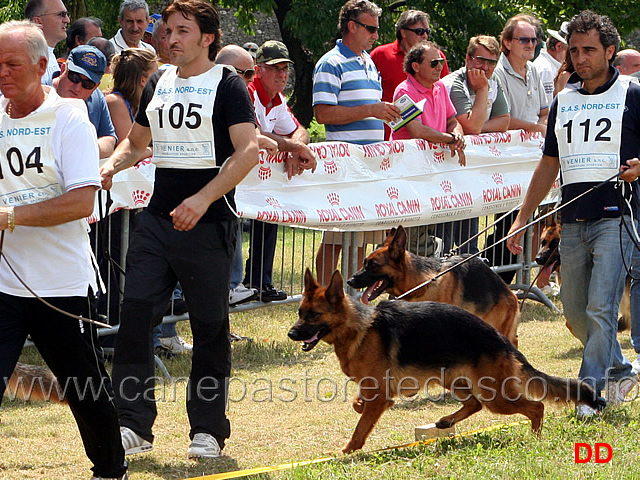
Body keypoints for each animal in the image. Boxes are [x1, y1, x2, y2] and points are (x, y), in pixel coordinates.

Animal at [290, 270, 604, 454]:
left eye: (314, 315)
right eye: (300, 312)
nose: (292, 333)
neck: (360, 327)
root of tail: (501, 340)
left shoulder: (381, 396)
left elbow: (361, 426)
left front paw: (346, 452)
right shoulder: (373, 388)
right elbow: (359, 404)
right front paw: (356, 409)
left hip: (495, 396)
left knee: (535, 407)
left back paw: (534, 438)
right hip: (453, 380)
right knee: (474, 403)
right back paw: (445, 421)